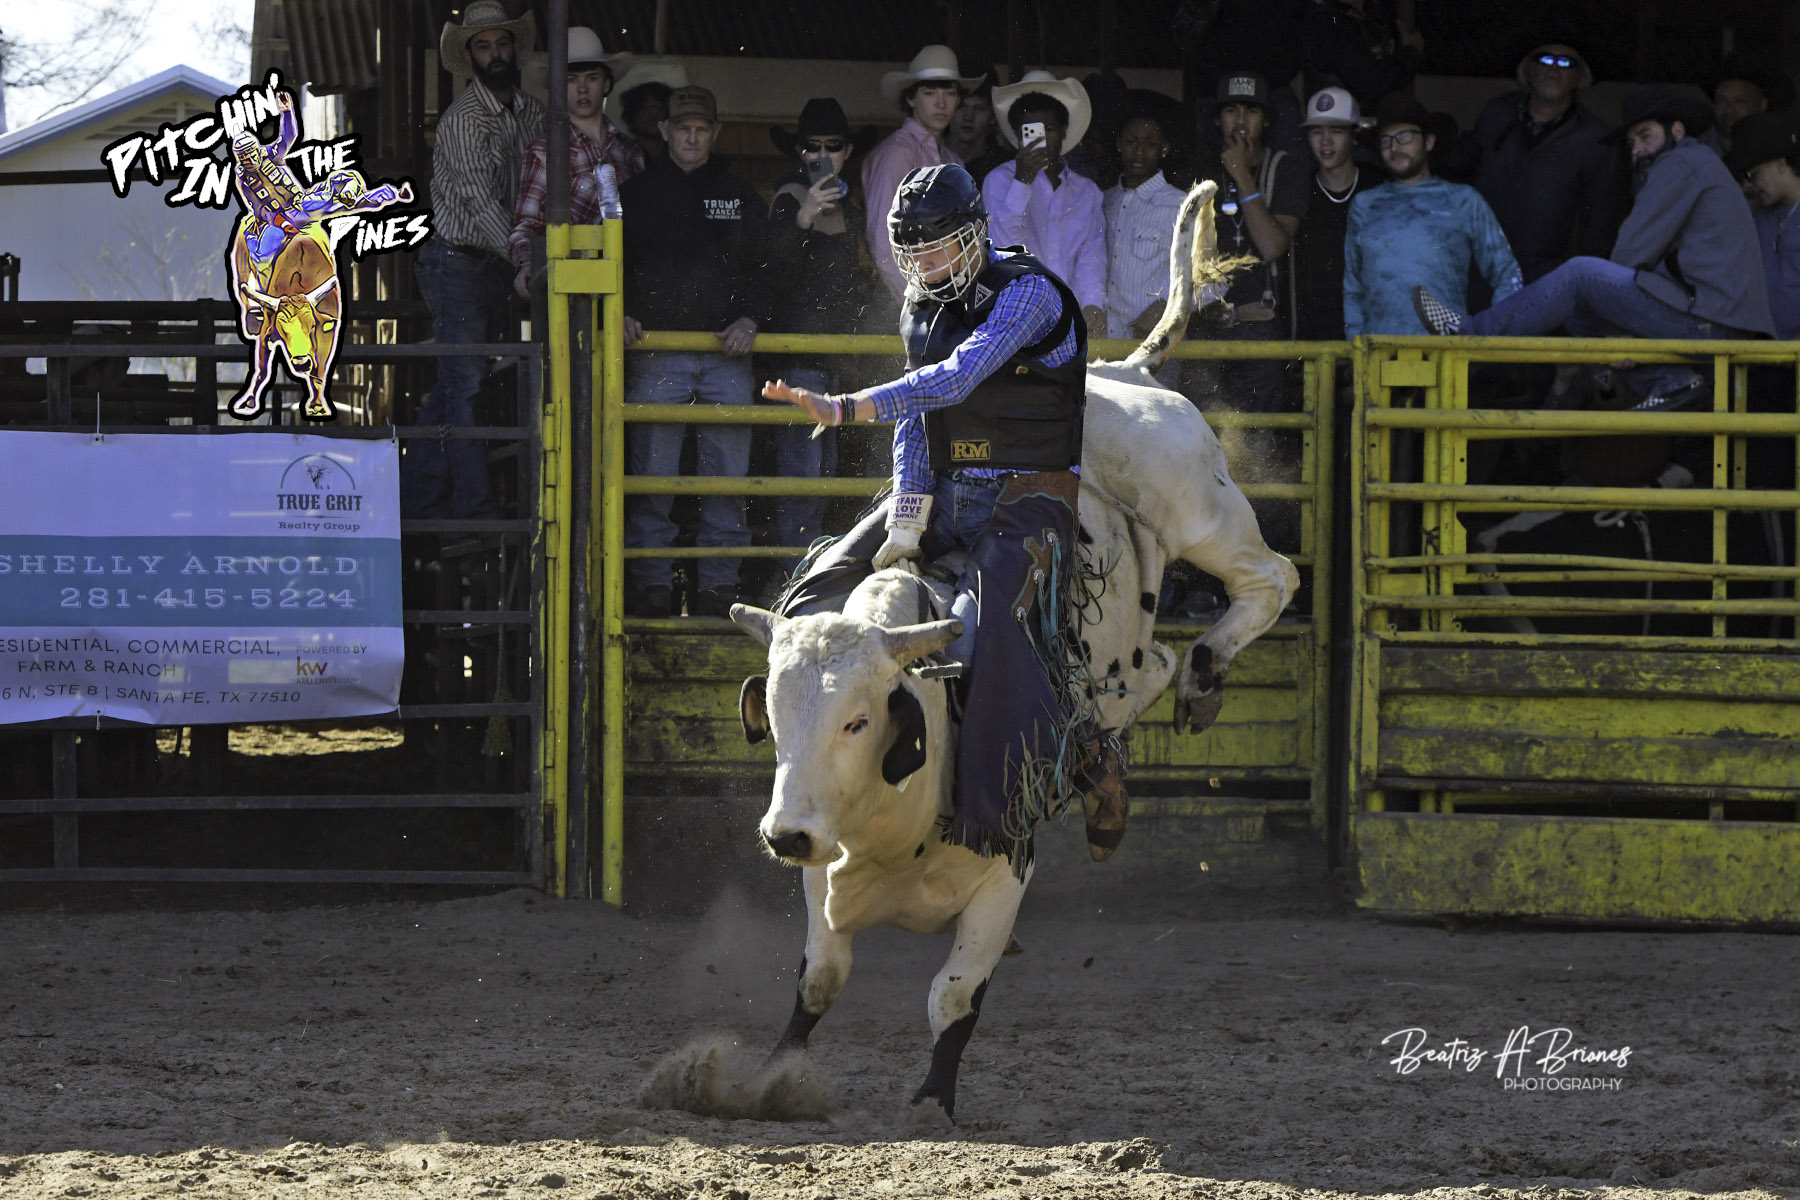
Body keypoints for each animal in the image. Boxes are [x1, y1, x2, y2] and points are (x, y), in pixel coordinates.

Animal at [725, 180, 1298, 1124]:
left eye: (859, 721)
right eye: (773, 715)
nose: (782, 834)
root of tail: (1130, 371)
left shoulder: (1003, 875)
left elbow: (953, 996)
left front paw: (932, 1098)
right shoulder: (821, 867)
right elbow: (821, 977)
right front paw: (772, 1075)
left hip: (1194, 503)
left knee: (1268, 578)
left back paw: (1210, 670)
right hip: (1127, 635)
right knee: (1147, 672)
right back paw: (1121, 749)